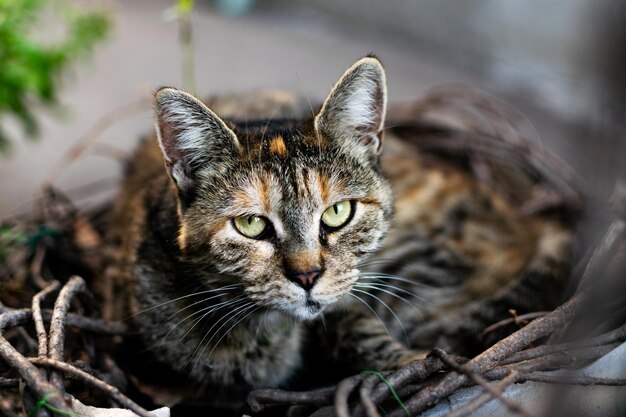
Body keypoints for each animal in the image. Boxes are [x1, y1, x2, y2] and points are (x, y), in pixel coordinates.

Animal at [106, 57, 572, 412]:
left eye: (337, 213)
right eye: (251, 224)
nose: (308, 276)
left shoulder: (353, 297)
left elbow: (356, 326)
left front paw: (412, 363)